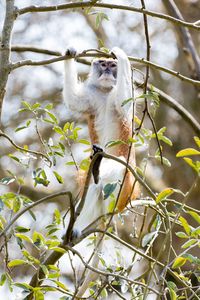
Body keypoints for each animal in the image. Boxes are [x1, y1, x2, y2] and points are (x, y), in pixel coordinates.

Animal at [63, 45, 140, 237]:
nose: (106, 70)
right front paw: (69, 53)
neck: (105, 92)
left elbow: (124, 103)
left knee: (118, 165)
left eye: (113, 65)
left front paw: (121, 54)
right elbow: (73, 100)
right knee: (94, 188)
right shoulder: (92, 95)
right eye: (103, 64)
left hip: (122, 191)